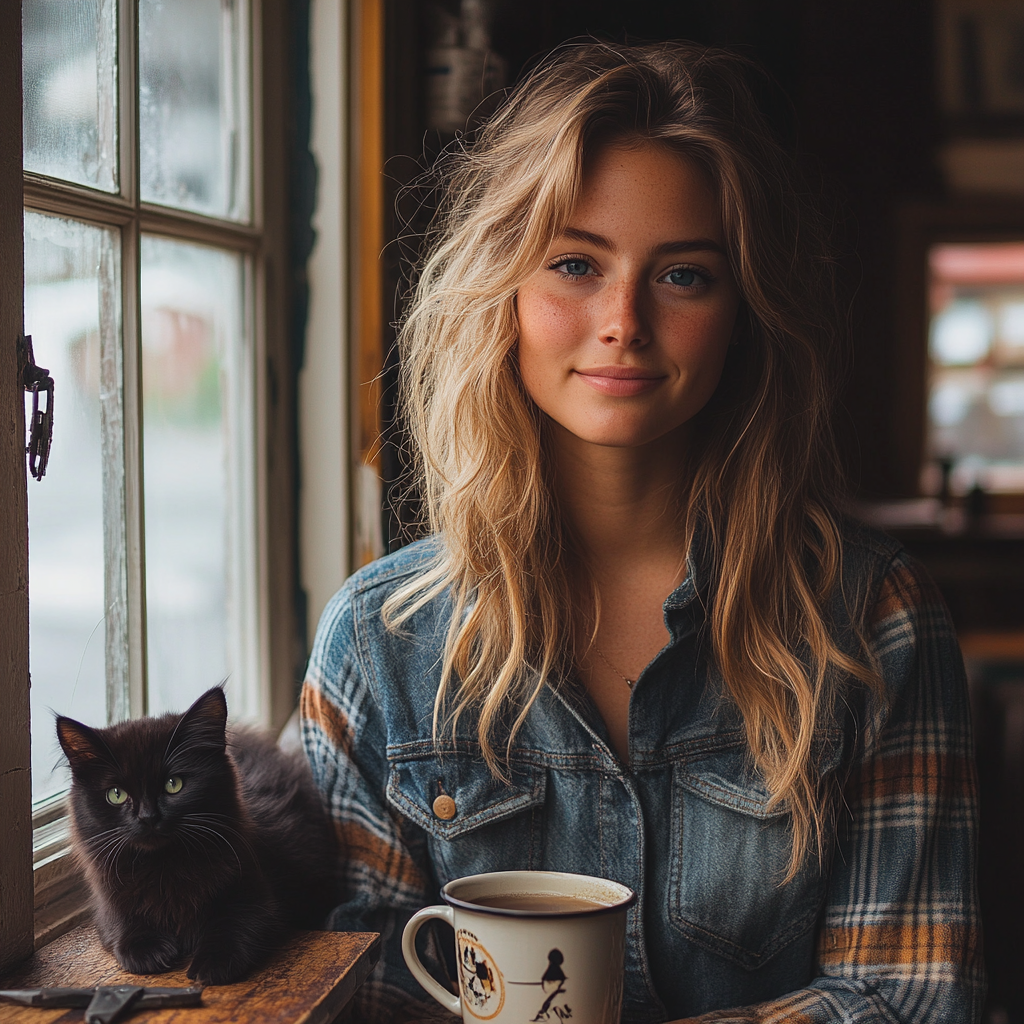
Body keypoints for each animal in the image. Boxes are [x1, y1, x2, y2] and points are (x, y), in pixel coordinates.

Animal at [57, 688, 339, 983]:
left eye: (174, 784)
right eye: (116, 794)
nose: (148, 817)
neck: (164, 867)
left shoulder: (254, 893)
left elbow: (238, 924)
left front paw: (211, 964)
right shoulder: (108, 901)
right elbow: (121, 926)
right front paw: (148, 952)